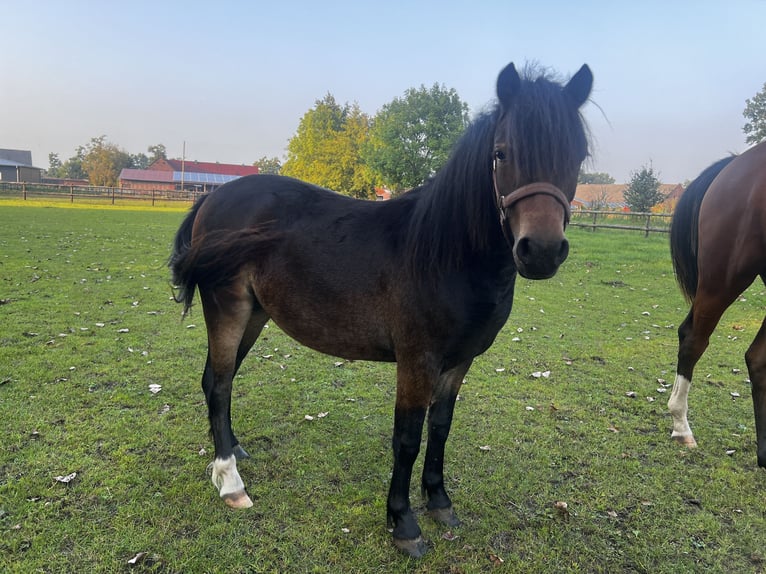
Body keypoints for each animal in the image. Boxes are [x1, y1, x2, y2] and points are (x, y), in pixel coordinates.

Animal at [171, 63, 596, 560]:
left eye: (578, 154)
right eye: (501, 153)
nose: (541, 251)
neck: (445, 254)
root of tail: (211, 199)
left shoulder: (459, 362)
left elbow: (441, 427)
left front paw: (439, 500)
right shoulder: (416, 361)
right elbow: (407, 439)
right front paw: (403, 522)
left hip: (256, 315)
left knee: (218, 381)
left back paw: (234, 452)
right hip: (228, 309)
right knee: (219, 385)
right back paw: (230, 482)